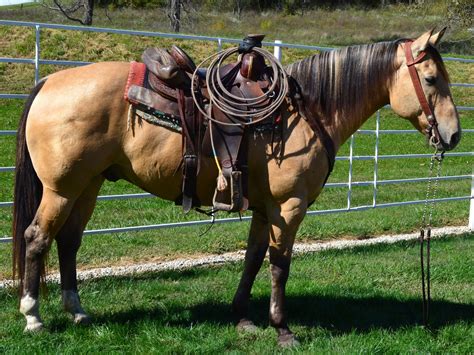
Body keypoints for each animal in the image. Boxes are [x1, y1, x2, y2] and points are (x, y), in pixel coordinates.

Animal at [12, 29, 462, 346]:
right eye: (430, 78)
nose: (454, 135)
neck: (309, 113)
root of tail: (49, 81)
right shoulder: (289, 206)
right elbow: (279, 265)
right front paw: (283, 329)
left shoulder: (265, 209)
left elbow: (252, 258)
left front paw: (243, 317)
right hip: (61, 189)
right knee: (37, 238)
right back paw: (33, 316)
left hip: (87, 186)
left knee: (68, 241)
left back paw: (77, 311)